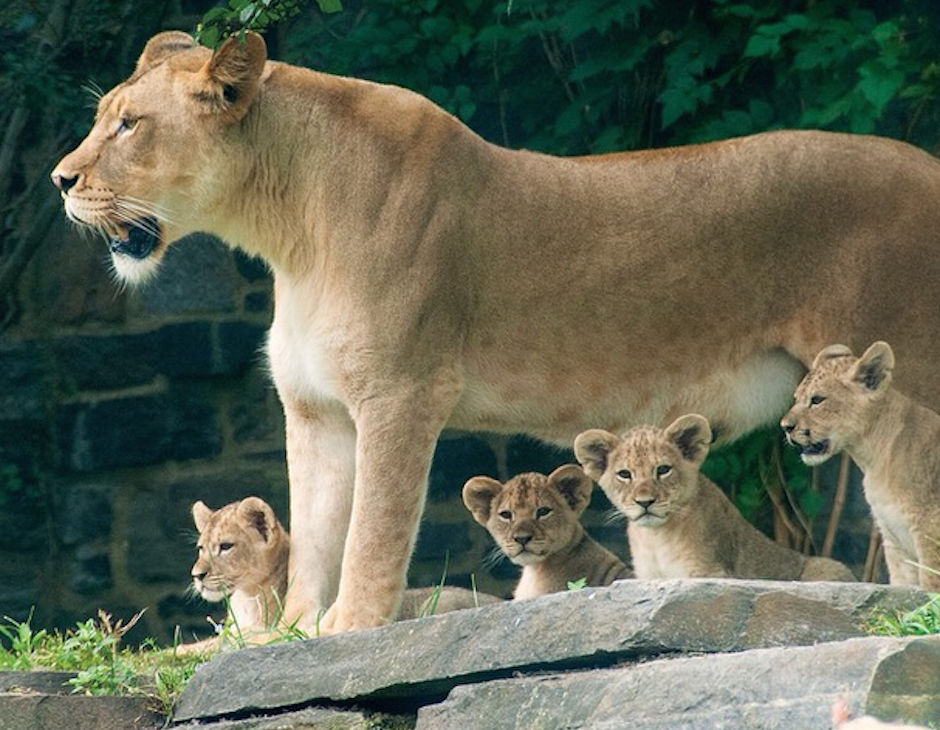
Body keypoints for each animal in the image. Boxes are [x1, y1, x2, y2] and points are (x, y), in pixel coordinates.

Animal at [574, 415, 856, 581]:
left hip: (829, 568)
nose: (645, 502)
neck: (655, 538)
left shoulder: (709, 572)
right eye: (624, 474)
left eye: (663, 470)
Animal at [781, 342, 940, 590]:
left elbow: (930, 587)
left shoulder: (930, 532)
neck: (873, 458)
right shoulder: (895, 541)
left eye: (817, 400)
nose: (785, 427)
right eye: (796, 398)